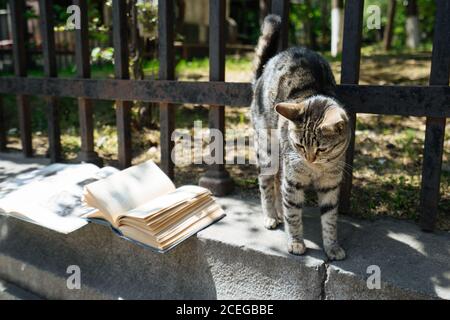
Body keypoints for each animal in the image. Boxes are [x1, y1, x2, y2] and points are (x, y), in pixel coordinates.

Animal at [250, 14, 352, 260]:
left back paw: (278, 212)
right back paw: (271, 215)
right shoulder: (293, 180)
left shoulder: (330, 185)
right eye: (299, 145)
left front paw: (332, 247)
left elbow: (330, 220)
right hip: (267, 151)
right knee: (267, 184)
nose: (309, 159)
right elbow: (293, 215)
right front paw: (295, 242)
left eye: (322, 149)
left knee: (277, 185)